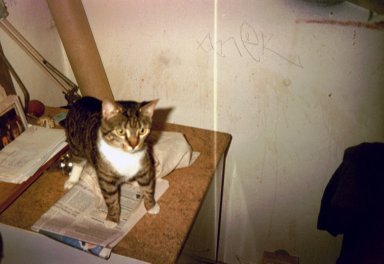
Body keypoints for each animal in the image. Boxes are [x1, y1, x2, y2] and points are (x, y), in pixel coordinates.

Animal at [63, 96, 159, 228]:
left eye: (142, 131)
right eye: (120, 131)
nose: (134, 145)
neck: (126, 155)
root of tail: (81, 100)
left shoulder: (145, 167)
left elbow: (148, 188)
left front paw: (151, 206)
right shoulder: (106, 178)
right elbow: (112, 199)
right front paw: (112, 219)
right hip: (75, 144)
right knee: (77, 162)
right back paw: (72, 180)